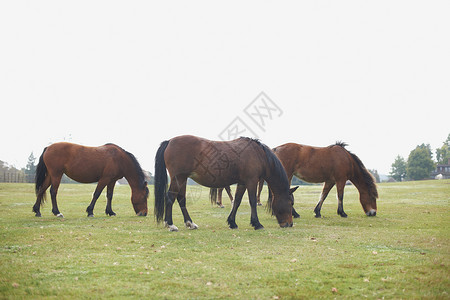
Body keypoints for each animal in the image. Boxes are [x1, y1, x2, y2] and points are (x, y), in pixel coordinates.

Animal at [153, 135, 298, 231]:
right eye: (291, 203)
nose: (289, 224)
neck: (259, 154)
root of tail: (169, 141)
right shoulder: (251, 181)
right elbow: (252, 202)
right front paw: (257, 224)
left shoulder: (242, 183)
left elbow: (237, 201)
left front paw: (232, 222)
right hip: (179, 178)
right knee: (171, 197)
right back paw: (170, 224)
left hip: (182, 180)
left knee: (181, 199)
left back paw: (190, 223)